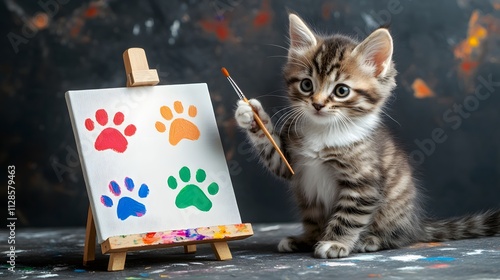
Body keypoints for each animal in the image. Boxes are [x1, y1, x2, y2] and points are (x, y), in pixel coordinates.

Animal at [235, 13, 500, 258]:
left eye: (341, 91)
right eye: (306, 85)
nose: (318, 105)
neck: (324, 130)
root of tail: (416, 225)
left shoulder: (363, 183)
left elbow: (348, 217)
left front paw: (335, 243)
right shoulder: (292, 163)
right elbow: (274, 153)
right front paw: (251, 114)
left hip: (394, 213)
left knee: (398, 238)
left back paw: (371, 240)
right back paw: (304, 240)